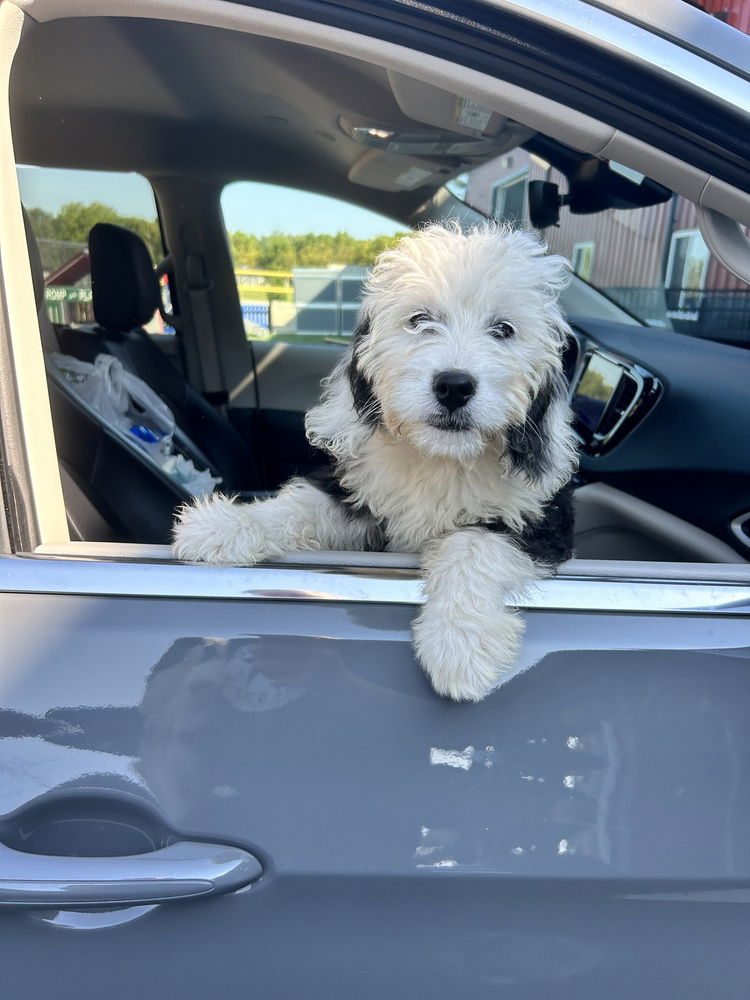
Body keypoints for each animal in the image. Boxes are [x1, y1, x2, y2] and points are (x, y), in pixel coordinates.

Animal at [173, 222, 580, 700]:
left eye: (504, 329)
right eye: (419, 320)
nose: (454, 385)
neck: (439, 456)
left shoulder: (540, 521)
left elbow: (471, 545)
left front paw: (460, 645)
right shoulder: (355, 487)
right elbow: (299, 507)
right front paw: (224, 526)